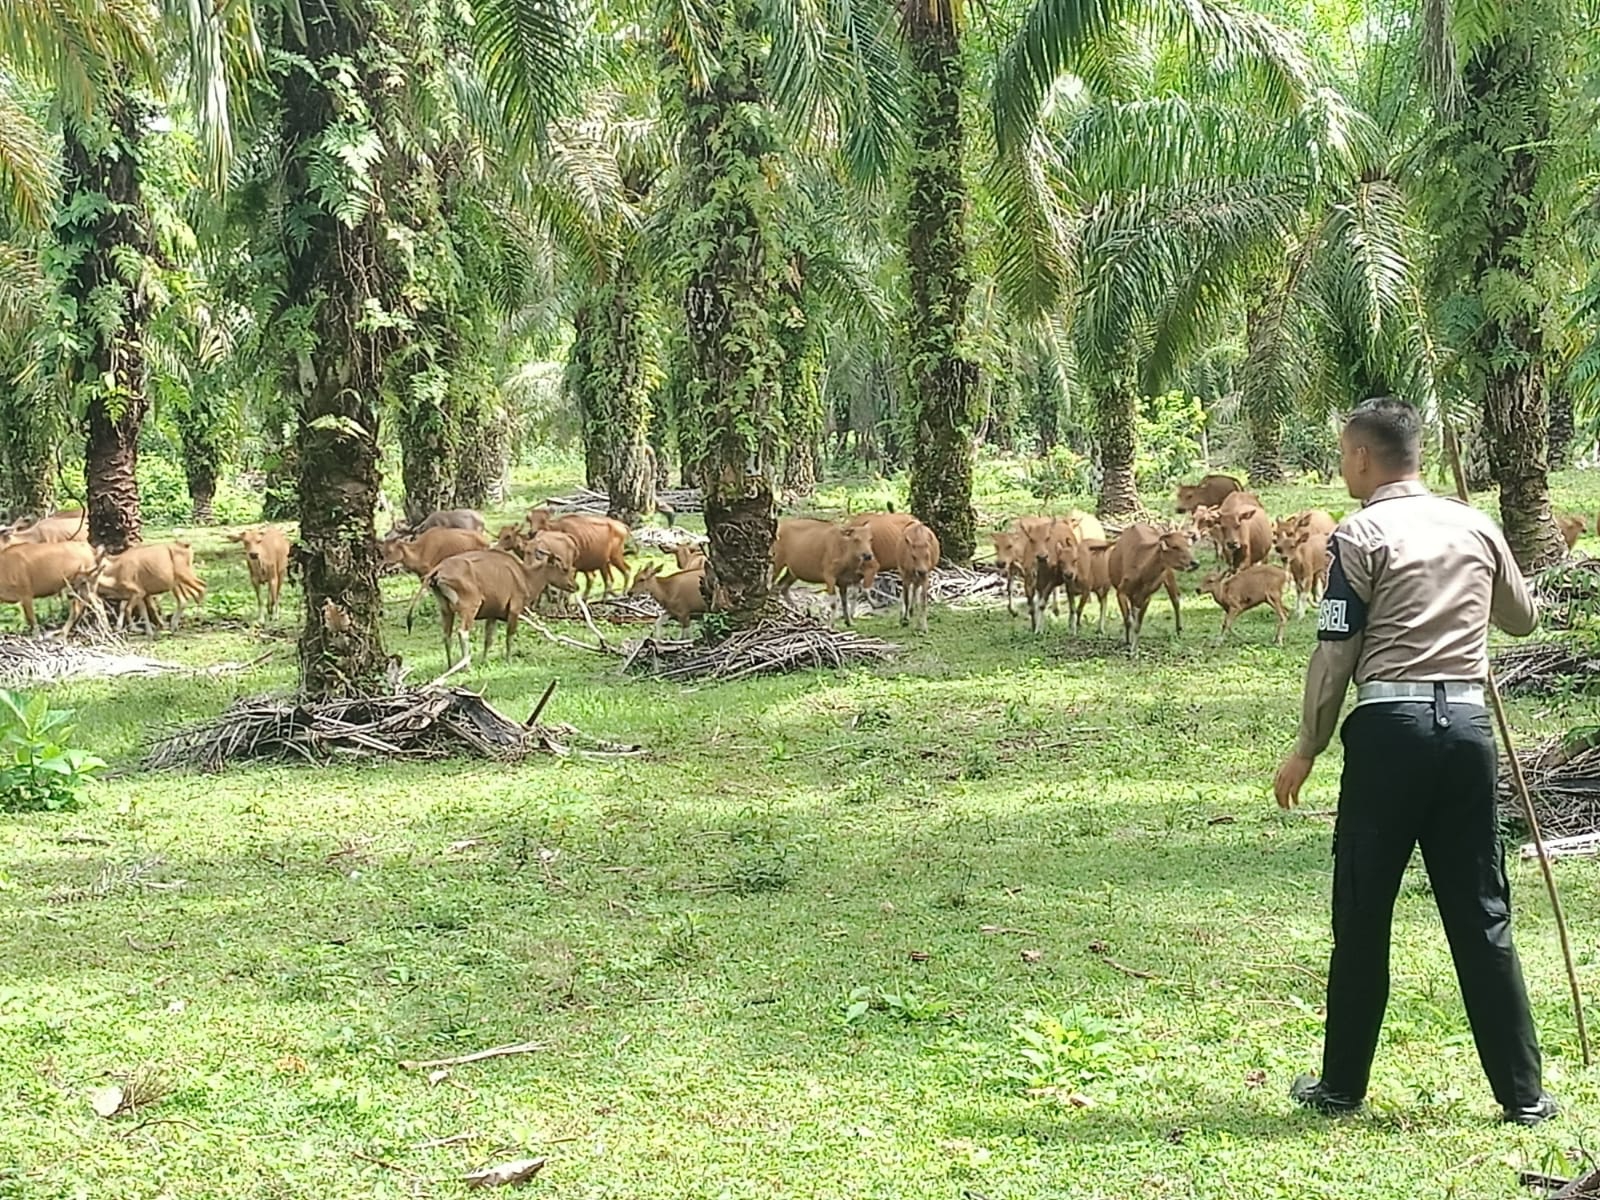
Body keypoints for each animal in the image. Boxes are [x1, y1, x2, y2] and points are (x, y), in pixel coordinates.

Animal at [425, 550, 576, 672]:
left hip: (445, 609)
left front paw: (484, 661)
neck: (526, 577)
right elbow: (509, 636)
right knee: (462, 632)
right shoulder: (514, 609)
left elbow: (488, 639)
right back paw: (466, 666)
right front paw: (509, 660)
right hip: (470, 607)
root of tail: (439, 570)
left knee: (446, 635)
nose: (575, 586)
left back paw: (450, 666)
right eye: (564, 569)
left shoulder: (492, 614)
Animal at [1107, 524, 1196, 652]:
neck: (1141, 574)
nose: (1195, 563)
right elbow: (1128, 620)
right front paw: (1128, 643)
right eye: (1175, 546)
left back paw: (1179, 631)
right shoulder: (1121, 591)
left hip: (1169, 575)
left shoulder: (1147, 596)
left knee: (1176, 599)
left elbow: (1138, 624)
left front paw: (1134, 649)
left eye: (1188, 546)